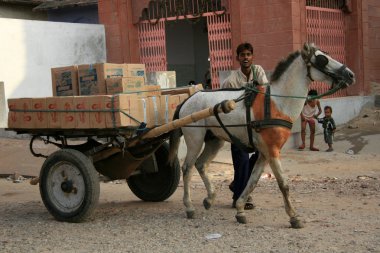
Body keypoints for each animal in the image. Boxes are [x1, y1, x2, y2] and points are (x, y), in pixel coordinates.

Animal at [168, 43, 354, 227]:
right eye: (322, 59)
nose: (350, 75)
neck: (278, 102)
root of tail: (188, 100)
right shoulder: (272, 150)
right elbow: (283, 183)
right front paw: (294, 216)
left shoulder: (265, 152)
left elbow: (253, 180)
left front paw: (241, 208)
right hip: (195, 139)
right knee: (187, 168)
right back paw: (189, 206)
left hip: (214, 140)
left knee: (201, 164)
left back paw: (210, 198)